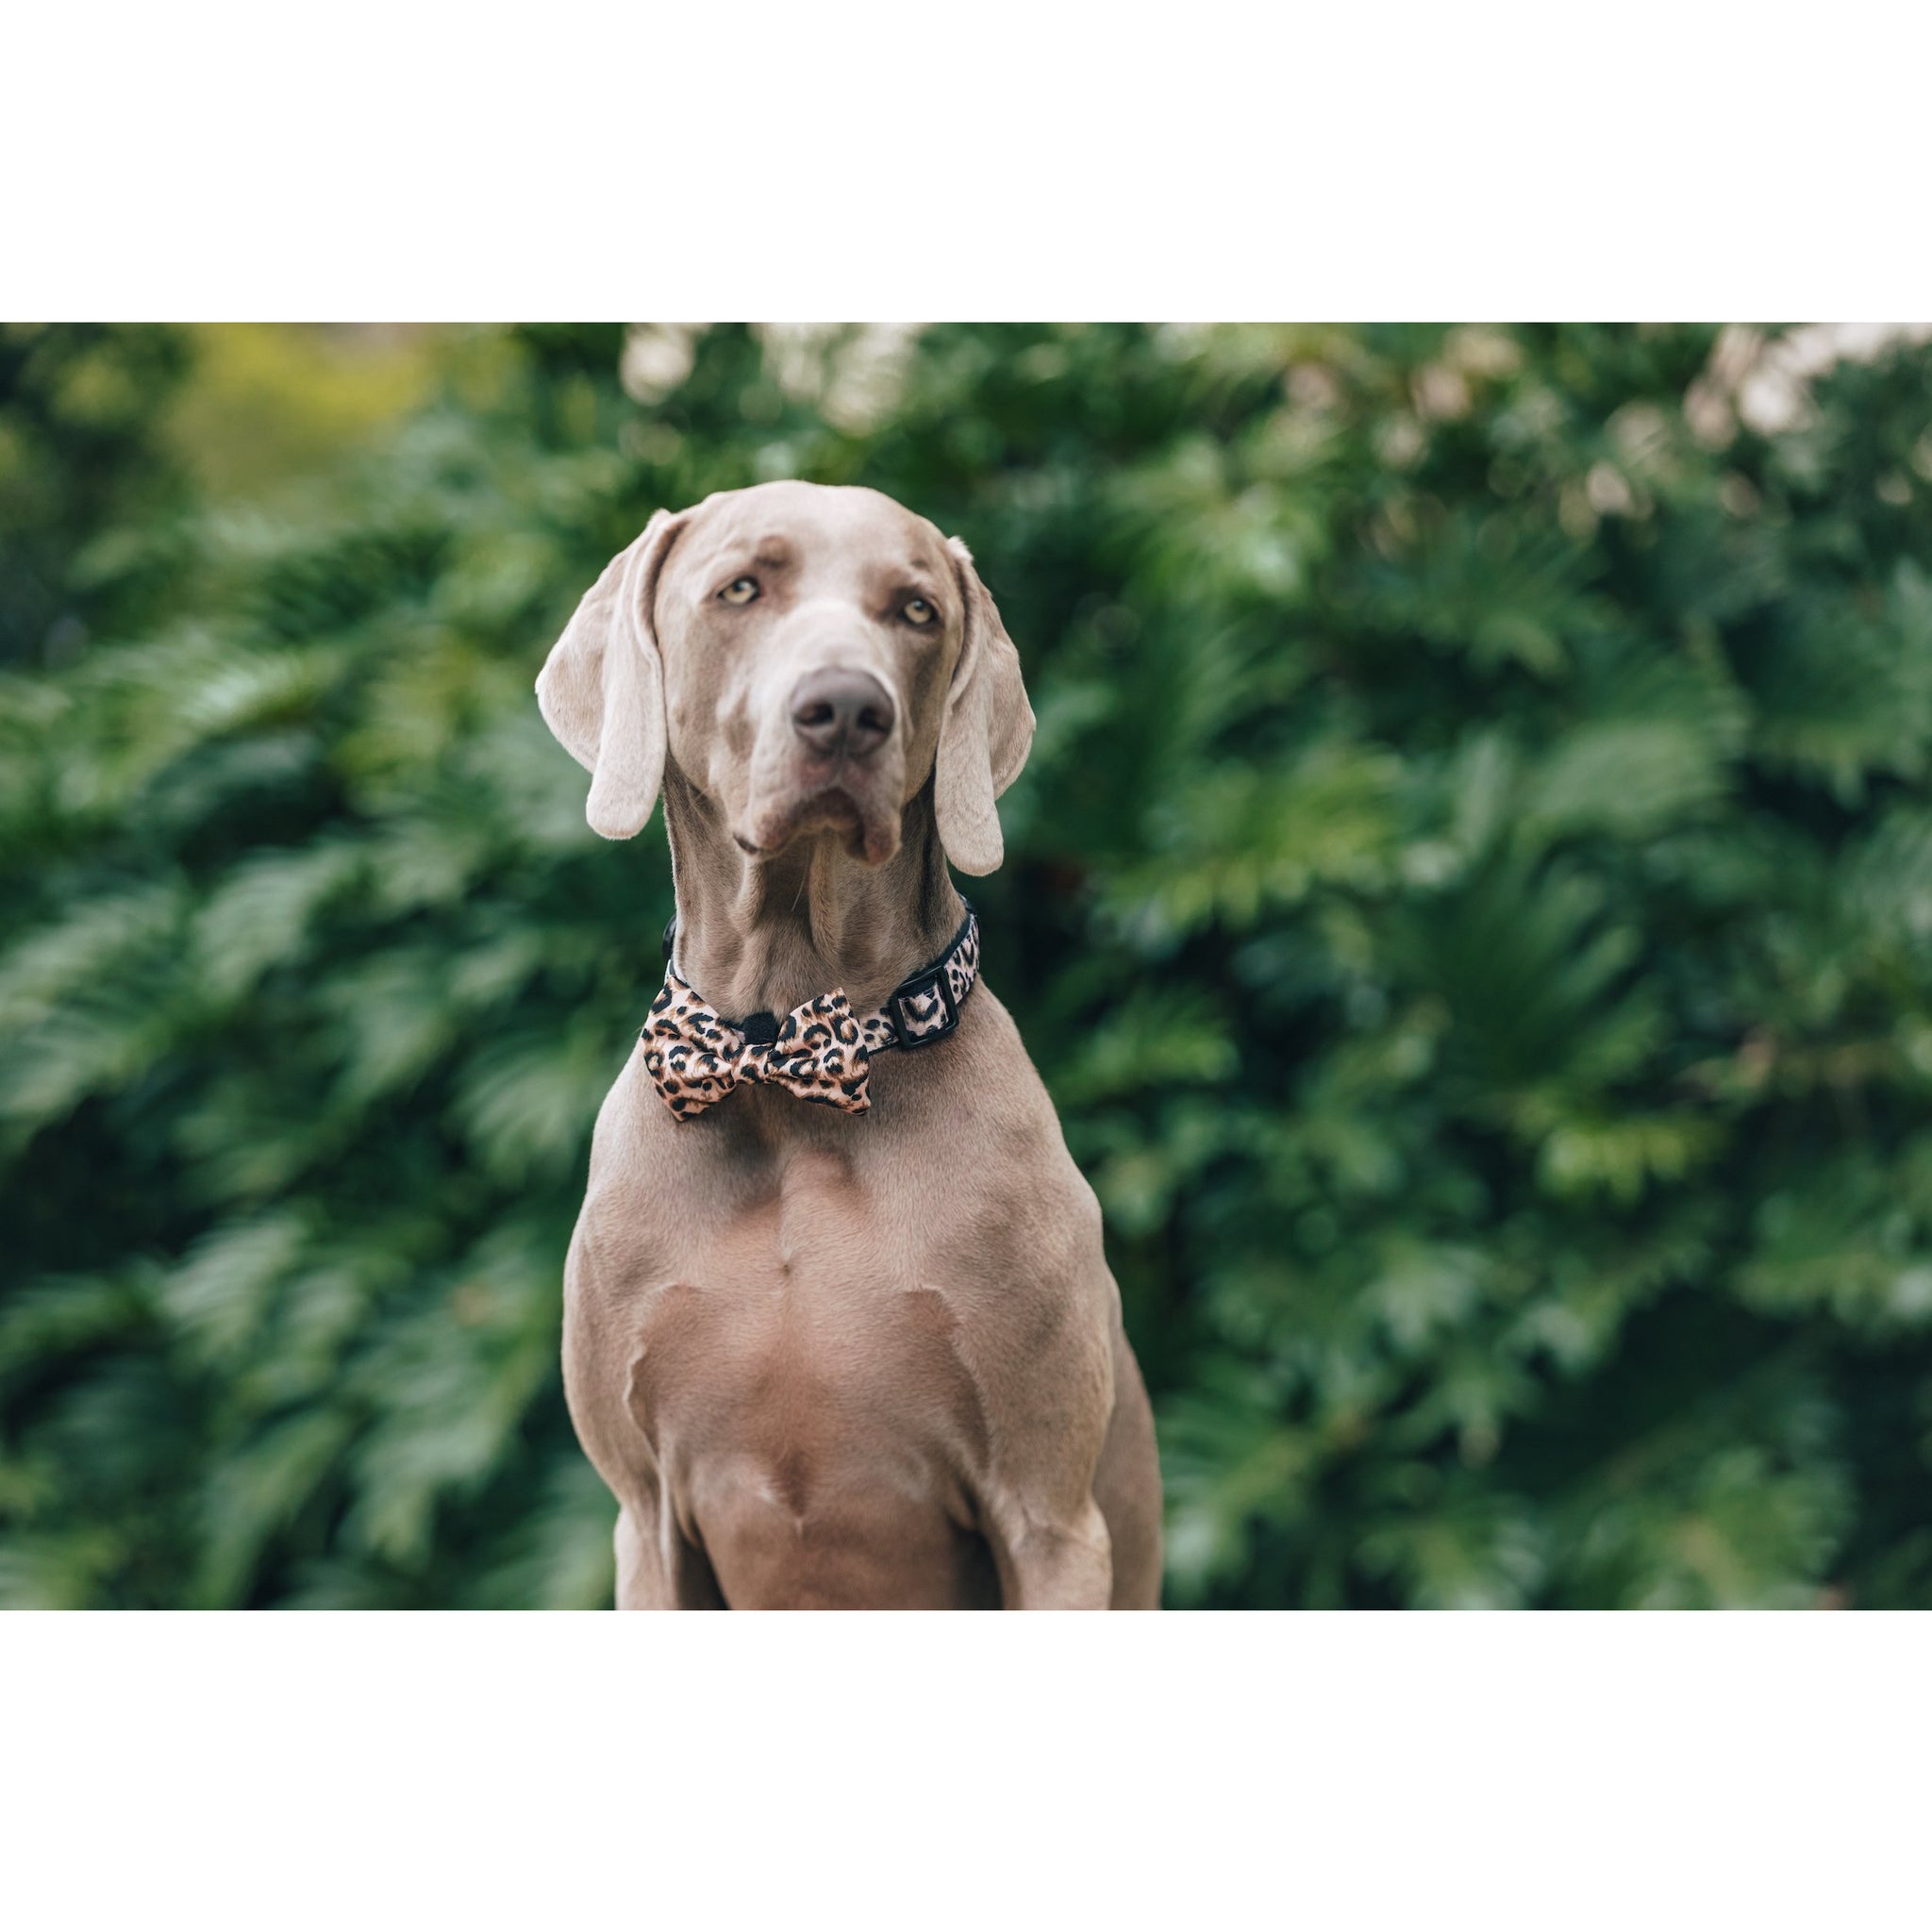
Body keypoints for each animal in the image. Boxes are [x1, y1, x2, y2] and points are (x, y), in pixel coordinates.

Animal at [537, 483, 1151, 1615]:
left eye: (915, 611)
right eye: (741, 588)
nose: (847, 709)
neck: (782, 1067)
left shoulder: (1049, 1518)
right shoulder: (647, 1518)